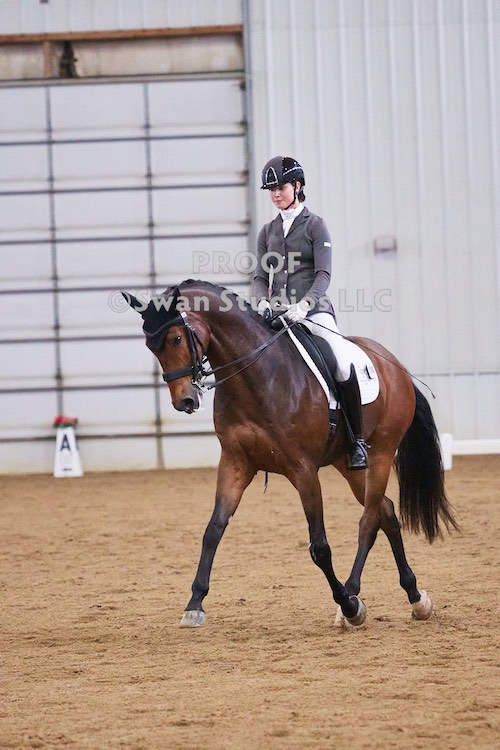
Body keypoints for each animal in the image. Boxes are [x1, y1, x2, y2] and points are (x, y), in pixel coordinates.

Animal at [123, 280, 458, 628]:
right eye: (151, 347)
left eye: (176, 338)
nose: (185, 401)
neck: (256, 377)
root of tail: (395, 366)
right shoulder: (235, 463)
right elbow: (212, 531)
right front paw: (194, 604)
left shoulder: (303, 470)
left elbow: (319, 547)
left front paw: (348, 603)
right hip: (349, 464)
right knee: (387, 513)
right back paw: (416, 597)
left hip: (381, 453)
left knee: (368, 521)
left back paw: (352, 598)